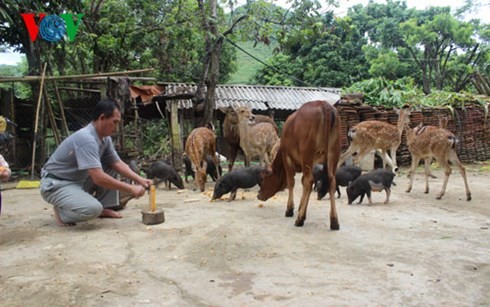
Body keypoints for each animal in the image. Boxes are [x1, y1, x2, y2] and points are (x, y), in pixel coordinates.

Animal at [256, 100, 340, 230]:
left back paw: (300, 219)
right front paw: (301, 207)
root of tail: (323, 104)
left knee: (309, 181)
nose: (258, 195)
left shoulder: (287, 158)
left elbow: (291, 183)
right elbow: (302, 182)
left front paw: (290, 209)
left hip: (307, 154)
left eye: (262, 178)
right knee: (331, 180)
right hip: (333, 154)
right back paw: (334, 221)